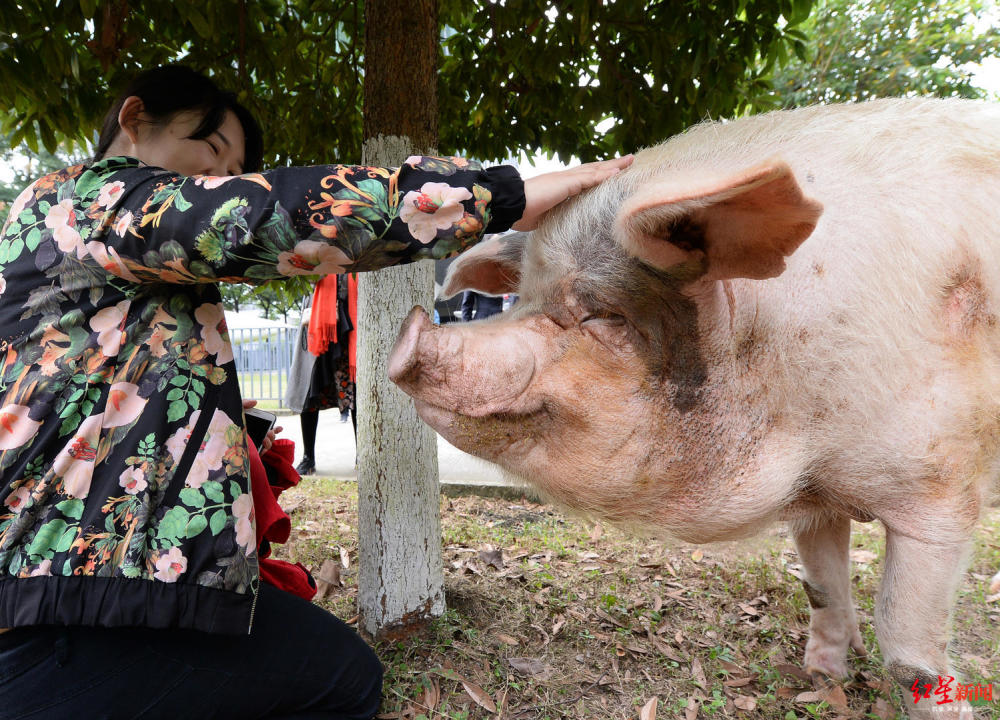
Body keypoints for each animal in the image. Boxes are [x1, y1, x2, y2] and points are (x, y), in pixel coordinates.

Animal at [388, 97, 1000, 720]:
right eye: (524, 300)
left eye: (603, 314)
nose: (410, 327)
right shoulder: (817, 498)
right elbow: (822, 586)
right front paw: (821, 680)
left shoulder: (941, 488)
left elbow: (909, 654)